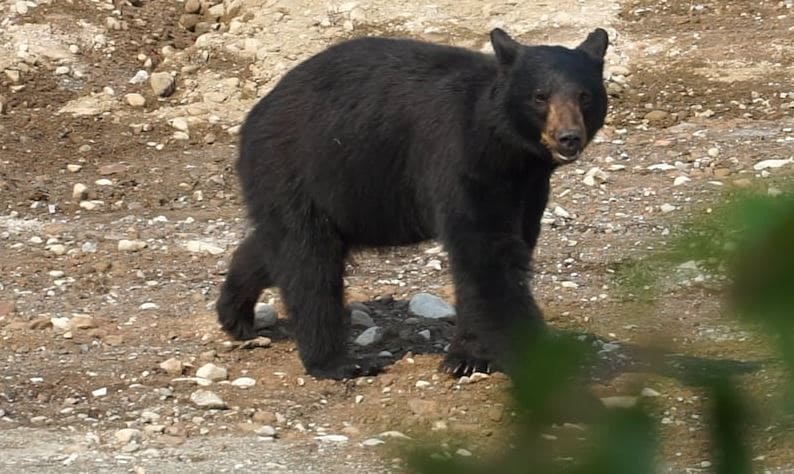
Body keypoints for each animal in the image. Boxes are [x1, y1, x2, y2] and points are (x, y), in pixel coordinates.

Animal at [215, 27, 610, 380]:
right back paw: (336, 362)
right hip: (298, 166)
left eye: (584, 96)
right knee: (307, 260)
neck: (508, 150)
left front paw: (469, 357)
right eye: (540, 96)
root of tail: (255, 114)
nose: (569, 137)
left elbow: (508, 247)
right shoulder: (459, 159)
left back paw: (234, 313)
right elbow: (486, 255)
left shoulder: (527, 187)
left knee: (277, 247)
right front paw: (533, 355)